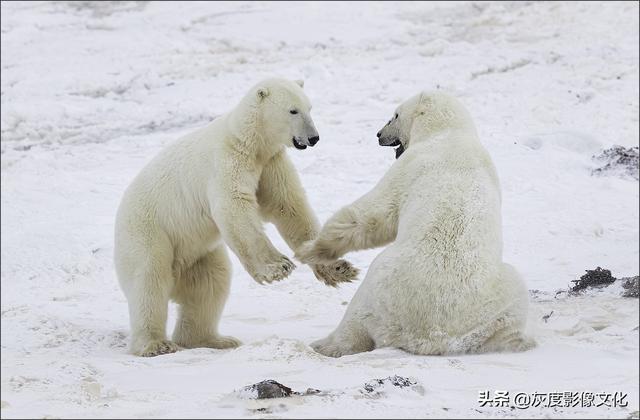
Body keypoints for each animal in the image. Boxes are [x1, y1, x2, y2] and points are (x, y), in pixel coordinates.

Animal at [112, 77, 358, 356]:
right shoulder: (227, 162)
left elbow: (288, 206)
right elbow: (234, 208)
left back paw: (213, 340)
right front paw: (278, 267)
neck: (249, 141)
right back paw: (156, 344)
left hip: (198, 253)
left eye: (310, 107)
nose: (314, 137)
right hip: (148, 233)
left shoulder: (270, 162)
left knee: (210, 283)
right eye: (293, 110)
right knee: (149, 281)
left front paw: (340, 269)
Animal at [296, 90, 536, 356]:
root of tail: (428, 337)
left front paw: (309, 250)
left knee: (357, 317)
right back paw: (519, 341)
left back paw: (324, 344)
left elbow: (374, 215)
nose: (379, 135)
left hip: (383, 286)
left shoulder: (410, 165)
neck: (449, 133)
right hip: (492, 306)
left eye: (395, 115)